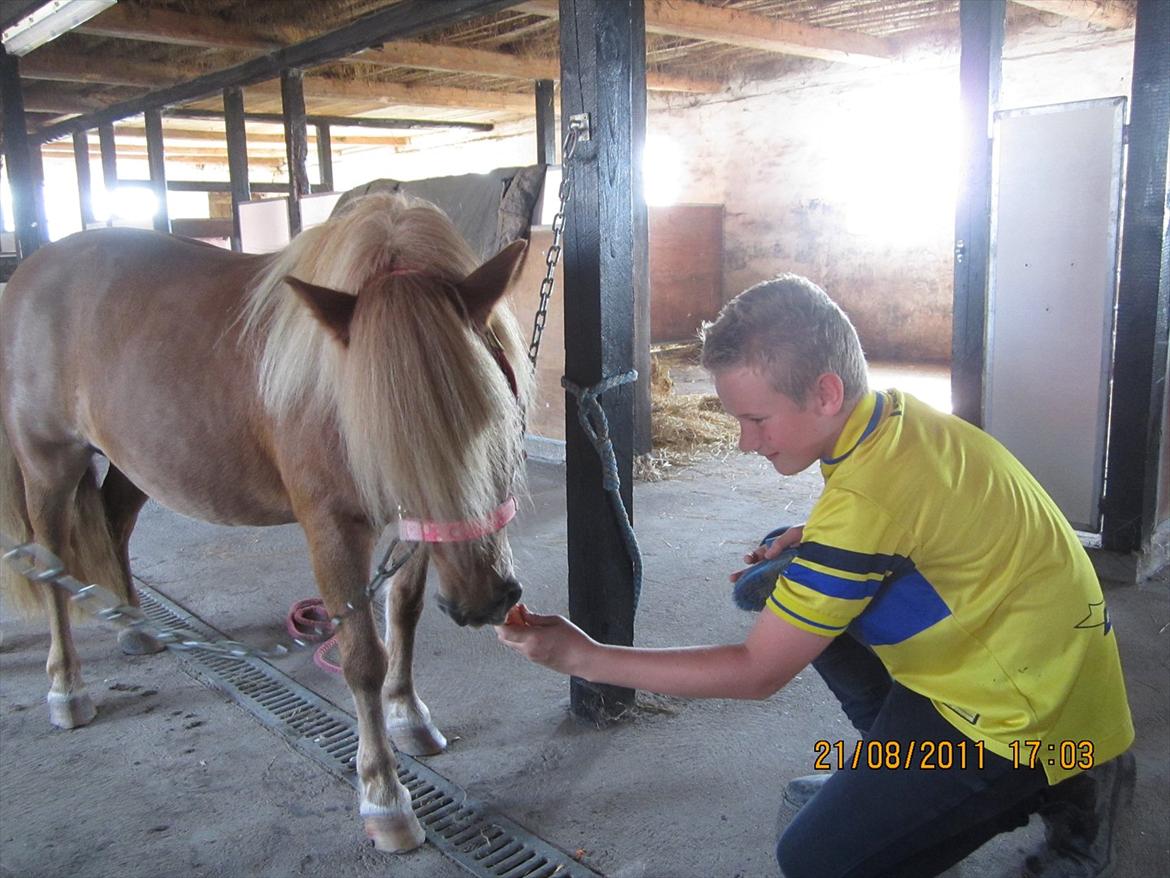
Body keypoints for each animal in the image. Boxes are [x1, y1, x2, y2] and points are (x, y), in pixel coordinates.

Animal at [0, 190, 531, 852]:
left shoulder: (409, 530)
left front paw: (409, 715)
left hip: (133, 463)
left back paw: (133, 627)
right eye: (387, 443)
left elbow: (403, 614)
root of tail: (29, 272)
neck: (332, 388)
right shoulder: (333, 528)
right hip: (48, 464)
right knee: (49, 565)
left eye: (490, 414)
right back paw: (66, 689)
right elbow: (362, 656)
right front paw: (384, 797)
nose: (488, 600)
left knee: (115, 527)